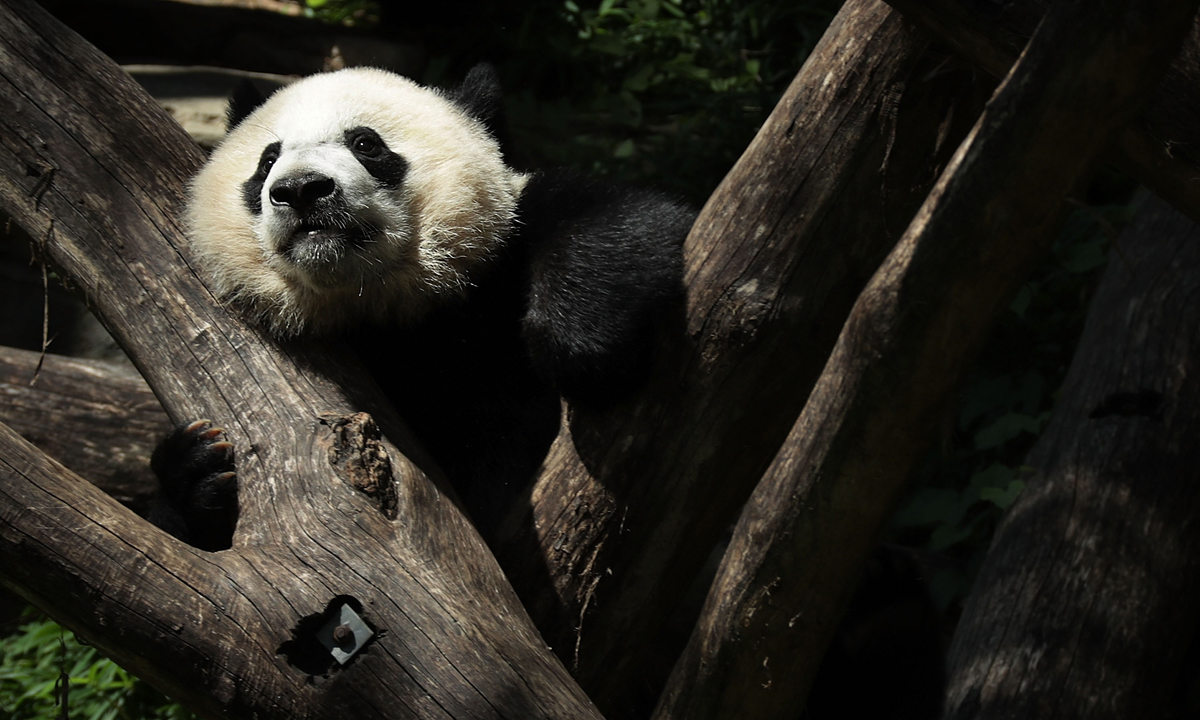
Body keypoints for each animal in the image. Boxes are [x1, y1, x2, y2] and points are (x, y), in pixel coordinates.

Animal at [147, 65, 695, 550]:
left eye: (366, 144)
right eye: (267, 160)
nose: (301, 189)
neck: (381, 305)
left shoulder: (497, 263)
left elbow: (626, 219)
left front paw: (581, 350)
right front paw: (196, 470)